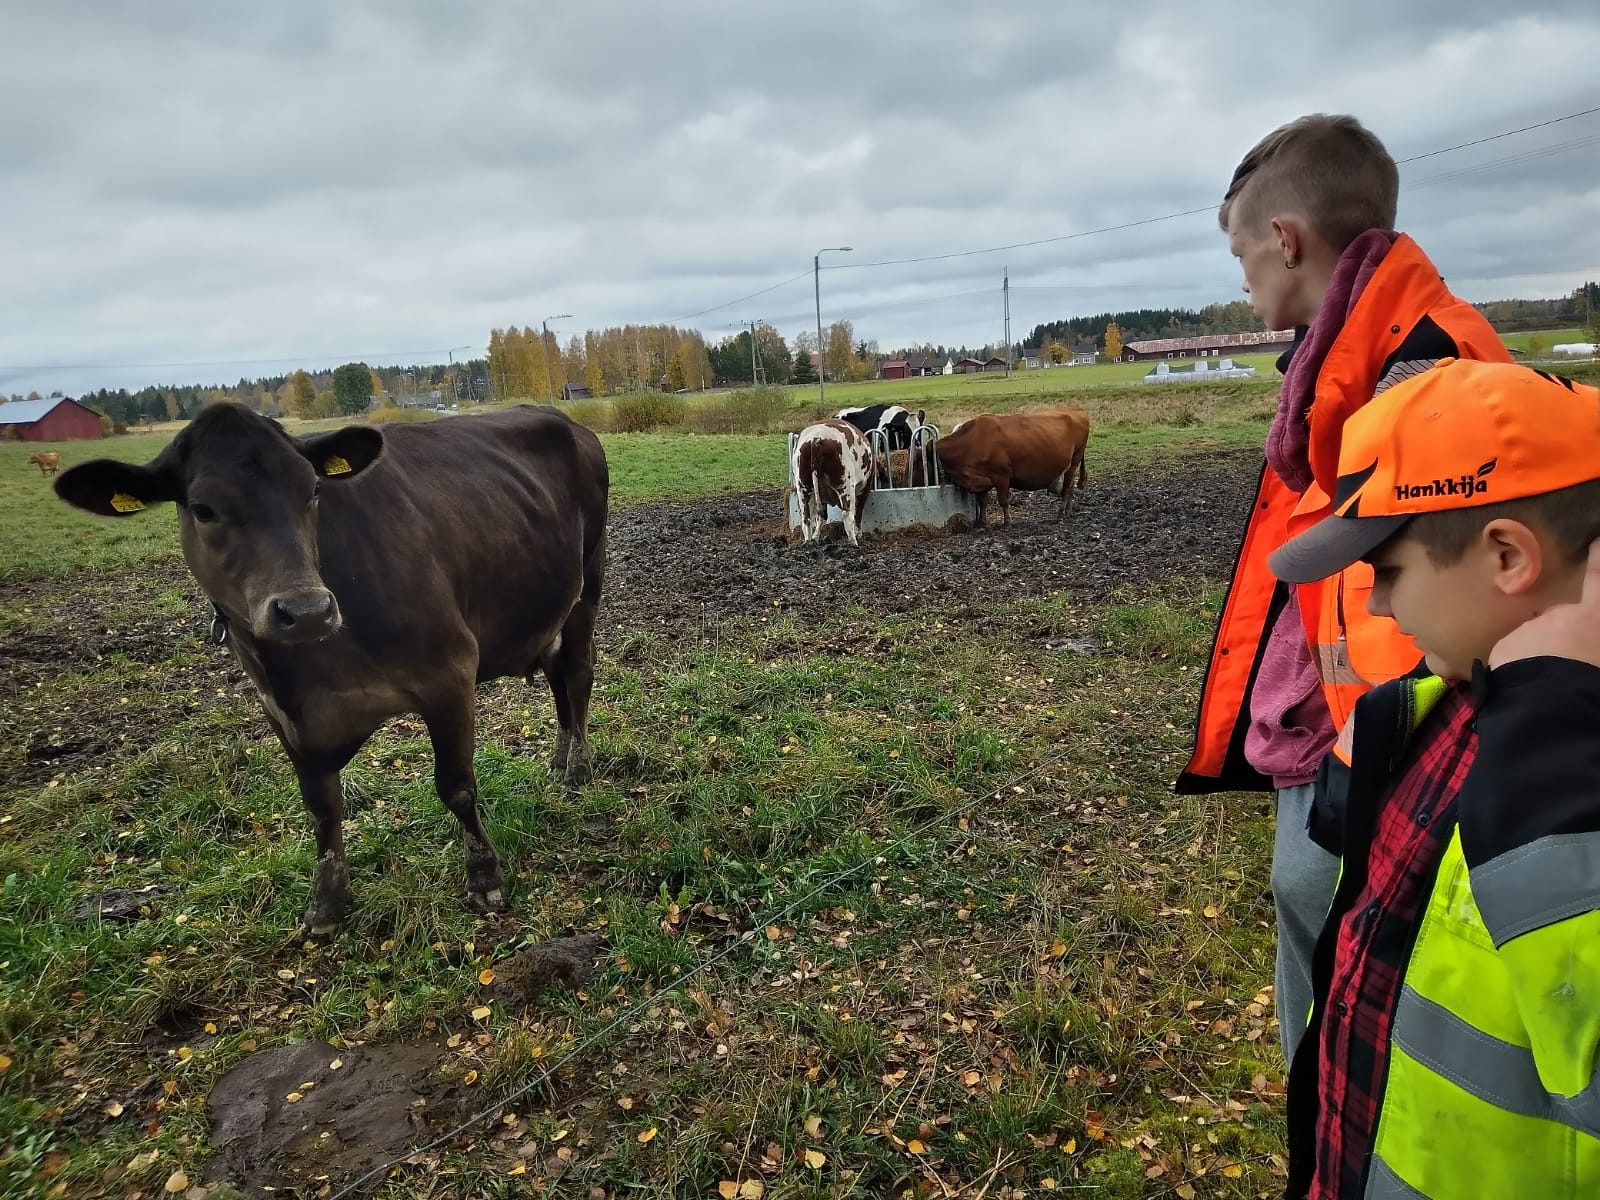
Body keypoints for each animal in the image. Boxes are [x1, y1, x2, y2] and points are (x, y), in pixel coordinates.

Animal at [53, 402, 609, 941]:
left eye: (313, 491)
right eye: (203, 508)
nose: (306, 611)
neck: (303, 671)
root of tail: (563, 419)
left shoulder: (451, 672)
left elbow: (456, 786)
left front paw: (485, 879)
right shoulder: (280, 712)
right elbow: (322, 807)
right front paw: (326, 905)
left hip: (588, 580)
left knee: (578, 674)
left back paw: (579, 768)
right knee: (558, 674)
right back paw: (559, 759)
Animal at [934, 407, 1090, 527]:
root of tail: (1076, 410)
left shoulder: (1001, 475)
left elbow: (1003, 501)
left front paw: (1007, 522)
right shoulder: (981, 478)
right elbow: (982, 502)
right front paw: (982, 522)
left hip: (1073, 462)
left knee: (1066, 489)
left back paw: (1060, 514)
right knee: (1070, 487)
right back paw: (1068, 512)